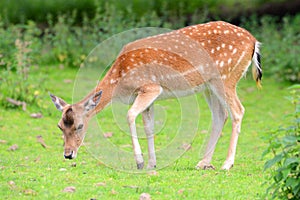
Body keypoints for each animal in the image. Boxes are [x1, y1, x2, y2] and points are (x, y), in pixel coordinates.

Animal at [50, 20, 262, 170]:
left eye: (79, 126)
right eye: (60, 126)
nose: (68, 154)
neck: (119, 81)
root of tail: (254, 41)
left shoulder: (150, 87)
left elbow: (130, 115)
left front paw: (140, 162)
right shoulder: (149, 97)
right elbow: (149, 127)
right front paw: (152, 163)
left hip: (226, 77)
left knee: (238, 111)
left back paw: (227, 164)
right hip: (208, 86)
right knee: (220, 115)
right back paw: (203, 163)